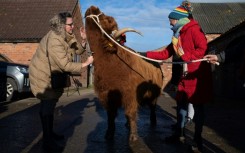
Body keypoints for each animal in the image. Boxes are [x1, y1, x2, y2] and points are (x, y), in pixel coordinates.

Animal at [85, 5, 164, 142]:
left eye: (104, 17)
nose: (92, 7)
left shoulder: (130, 94)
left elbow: (131, 113)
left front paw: (133, 136)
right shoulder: (107, 96)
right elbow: (111, 117)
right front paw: (109, 134)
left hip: (154, 94)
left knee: (152, 107)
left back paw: (153, 122)